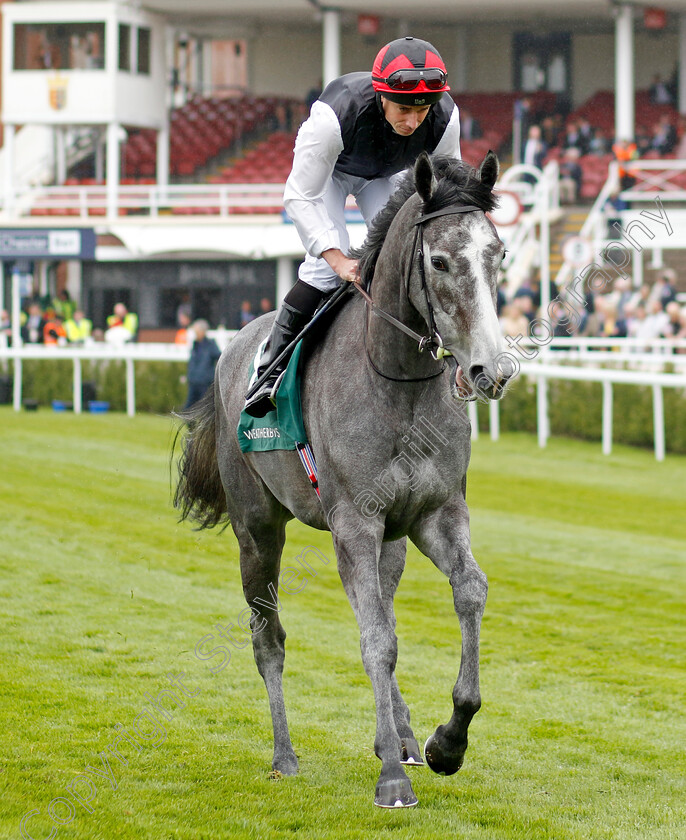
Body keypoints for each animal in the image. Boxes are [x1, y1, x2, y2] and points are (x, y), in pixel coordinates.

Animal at [175, 151, 512, 808]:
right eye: (440, 261)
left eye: (498, 254)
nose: (493, 369)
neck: (396, 383)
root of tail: (232, 348)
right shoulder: (354, 520)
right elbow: (375, 639)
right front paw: (392, 781)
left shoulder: (434, 513)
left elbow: (468, 593)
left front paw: (445, 741)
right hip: (257, 530)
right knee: (269, 638)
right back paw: (285, 755)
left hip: (390, 542)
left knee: (382, 605)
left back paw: (400, 735)